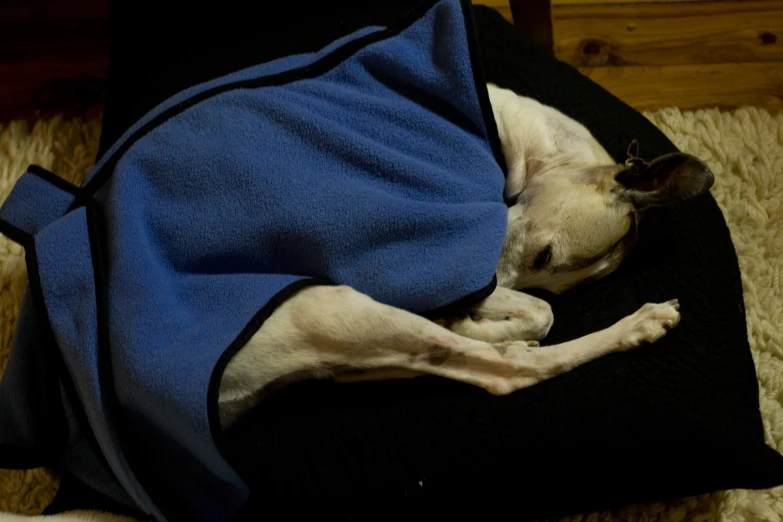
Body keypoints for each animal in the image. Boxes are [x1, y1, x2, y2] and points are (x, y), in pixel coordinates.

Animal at [7, 83, 716, 516]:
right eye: (544, 257)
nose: (476, 291)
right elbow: (532, 314)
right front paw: (494, 314)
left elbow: (529, 310)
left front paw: (489, 313)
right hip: (334, 307)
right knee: (509, 370)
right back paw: (626, 324)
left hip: (344, 335)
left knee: (472, 360)